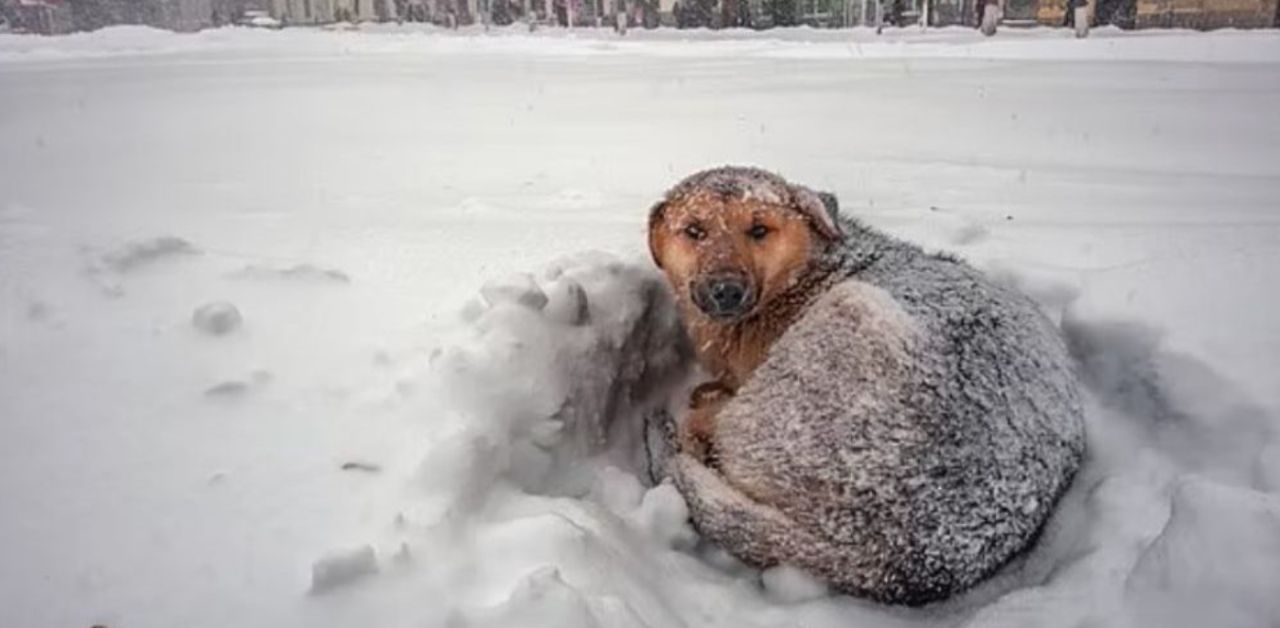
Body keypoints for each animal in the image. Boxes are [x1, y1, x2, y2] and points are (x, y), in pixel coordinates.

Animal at [645, 166, 1085, 603]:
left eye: (759, 230)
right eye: (694, 231)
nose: (726, 291)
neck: (806, 274)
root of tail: (895, 559)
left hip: (845, 325)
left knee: (712, 432)